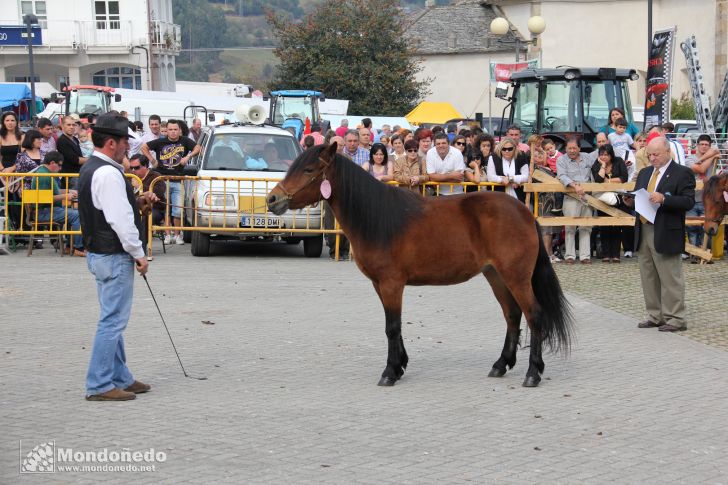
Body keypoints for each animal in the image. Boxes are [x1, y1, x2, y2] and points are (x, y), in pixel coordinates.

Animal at [268, 144, 576, 386]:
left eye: (308, 170)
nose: (273, 199)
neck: (379, 218)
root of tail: (525, 213)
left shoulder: (392, 284)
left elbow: (392, 327)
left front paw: (390, 372)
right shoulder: (380, 285)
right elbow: (395, 326)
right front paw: (400, 365)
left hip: (516, 277)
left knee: (534, 315)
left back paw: (533, 373)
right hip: (496, 275)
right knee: (512, 315)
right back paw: (501, 365)